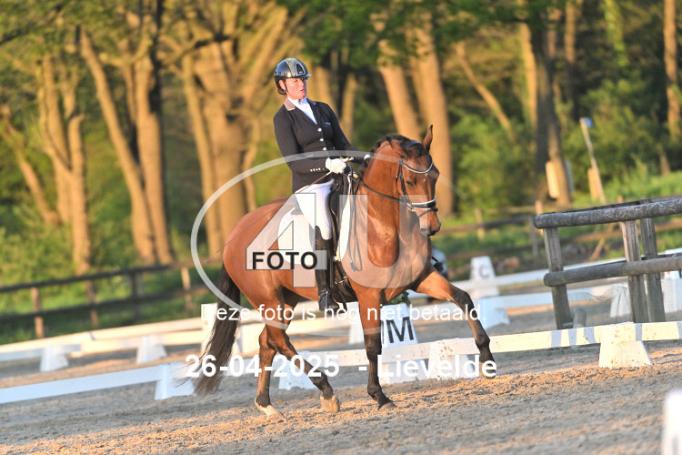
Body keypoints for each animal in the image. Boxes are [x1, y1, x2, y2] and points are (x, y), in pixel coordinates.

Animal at [194, 126, 495, 416]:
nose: (431, 227)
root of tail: (235, 234)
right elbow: (372, 346)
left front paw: (487, 361)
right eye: (410, 181)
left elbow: (464, 299)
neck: (383, 223)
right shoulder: (369, 296)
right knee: (278, 340)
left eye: (435, 175)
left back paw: (267, 405)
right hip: (270, 301)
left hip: (286, 300)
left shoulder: (421, 279)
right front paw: (379, 396)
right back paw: (325, 390)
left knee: (267, 341)